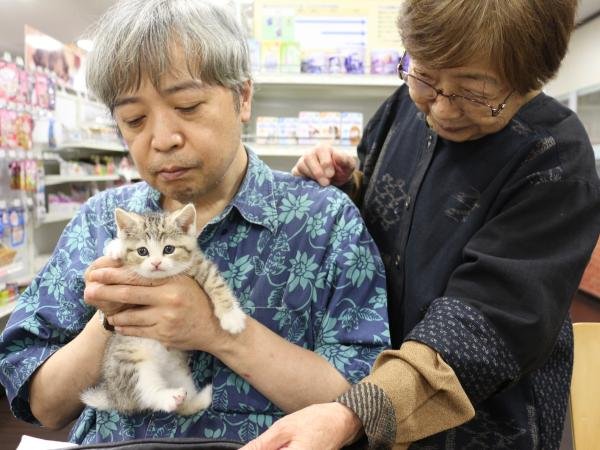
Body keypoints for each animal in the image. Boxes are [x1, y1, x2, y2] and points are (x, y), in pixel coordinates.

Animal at [81, 203, 246, 415]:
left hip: (180, 373)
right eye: (142, 251)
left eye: (169, 249)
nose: (156, 263)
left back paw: (200, 397)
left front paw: (231, 316)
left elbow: (215, 282)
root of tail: (114, 397)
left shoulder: (199, 263)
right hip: (129, 361)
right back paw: (168, 397)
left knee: (183, 407)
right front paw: (116, 247)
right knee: (145, 393)